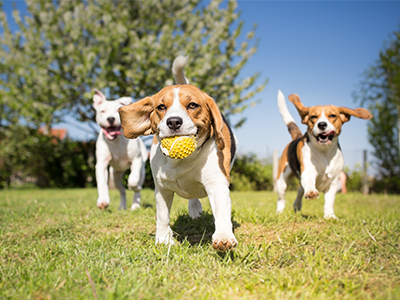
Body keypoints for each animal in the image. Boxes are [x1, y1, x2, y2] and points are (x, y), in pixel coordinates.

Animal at [118, 56, 238, 251]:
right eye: (161, 107)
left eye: (192, 105)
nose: (173, 121)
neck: (182, 161)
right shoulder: (162, 189)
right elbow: (162, 216)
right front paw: (163, 240)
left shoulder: (217, 184)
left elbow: (221, 212)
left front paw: (223, 236)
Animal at [276, 90, 372, 219]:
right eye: (313, 117)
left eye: (332, 116)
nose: (321, 124)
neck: (324, 152)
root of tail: (297, 137)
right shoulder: (308, 171)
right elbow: (309, 182)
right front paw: (311, 192)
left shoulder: (334, 181)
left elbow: (329, 201)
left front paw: (330, 216)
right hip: (282, 181)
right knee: (282, 198)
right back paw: (279, 212)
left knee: (300, 189)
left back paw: (297, 205)